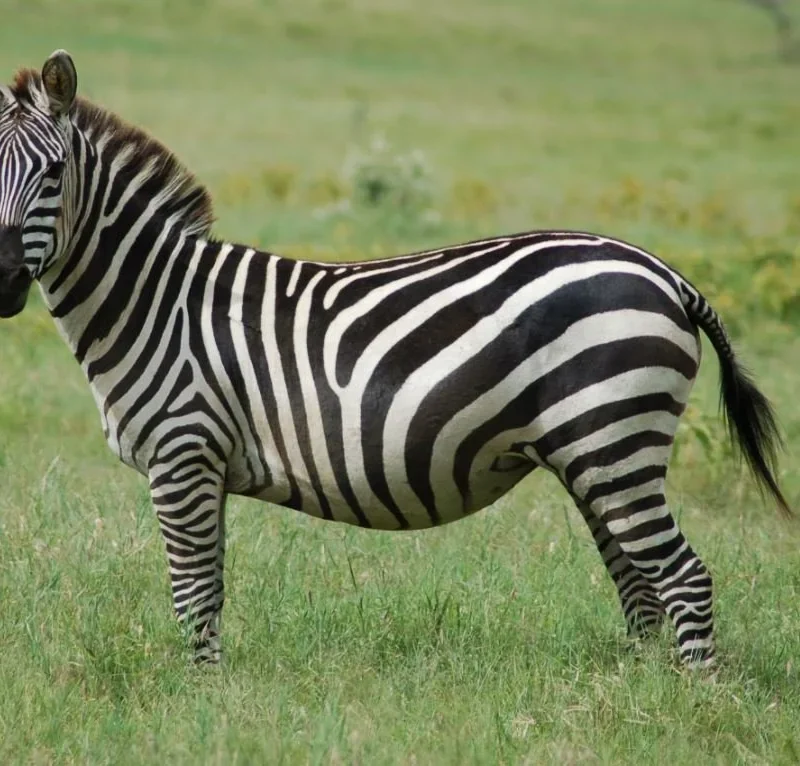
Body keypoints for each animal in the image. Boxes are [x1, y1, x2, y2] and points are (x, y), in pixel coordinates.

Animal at [0, 50, 790, 668]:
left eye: (55, 173)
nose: (4, 278)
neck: (157, 301)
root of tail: (666, 273)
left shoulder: (184, 454)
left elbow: (193, 595)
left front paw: (203, 701)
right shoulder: (204, 466)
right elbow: (209, 590)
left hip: (613, 436)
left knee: (684, 578)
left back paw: (692, 701)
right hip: (597, 451)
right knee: (639, 583)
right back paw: (637, 692)